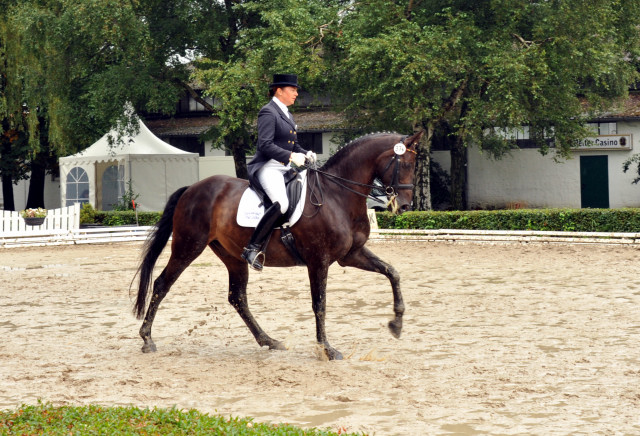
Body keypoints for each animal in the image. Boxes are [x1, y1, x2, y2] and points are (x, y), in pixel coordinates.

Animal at [134, 130, 424, 362]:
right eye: (405, 163)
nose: (405, 206)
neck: (337, 195)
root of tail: (192, 188)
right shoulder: (319, 260)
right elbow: (320, 303)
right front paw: (327, 349)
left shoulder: (351, 255)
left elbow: (392, 272)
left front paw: (396, 324)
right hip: (188, 246)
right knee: (161, 284)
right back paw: (147, 339)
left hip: (232, 256)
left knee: (237, 297)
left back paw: (269, 341)